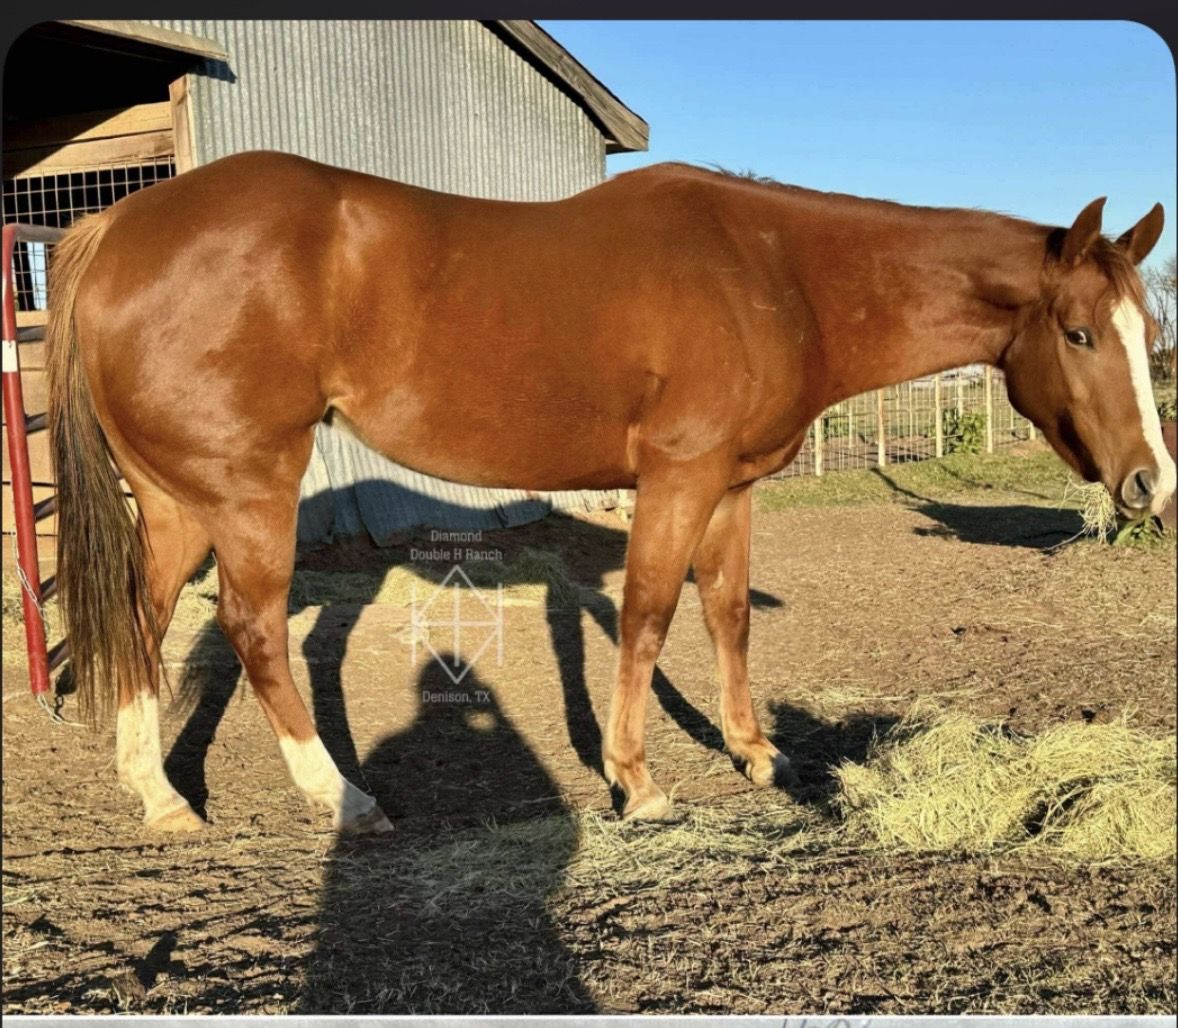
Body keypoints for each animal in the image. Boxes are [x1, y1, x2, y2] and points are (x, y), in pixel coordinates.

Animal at [46, 153, 1172, 831]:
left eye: (1145, 332)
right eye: (1079, 332)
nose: (1149, 483)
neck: (773, 272)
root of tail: (117, 227)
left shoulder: (730, 488)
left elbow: (724, 613)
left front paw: (756, 752)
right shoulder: (677, 476)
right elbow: (646, 616)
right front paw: (637, 781)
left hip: (178, 501)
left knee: (143, 619)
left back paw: (160, 797)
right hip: (247, 492)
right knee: (252, 628)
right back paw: (343, 795)